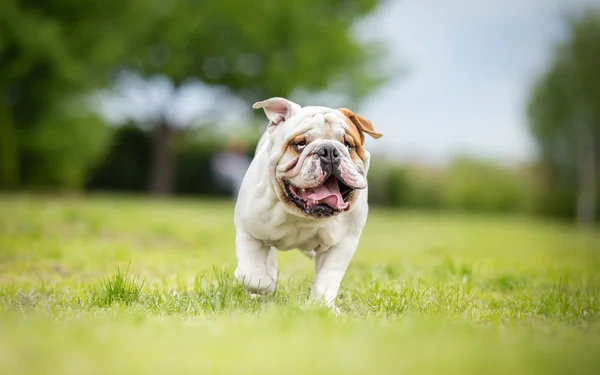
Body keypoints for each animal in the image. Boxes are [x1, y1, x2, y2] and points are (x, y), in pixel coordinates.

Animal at [232, 97, 382, 312]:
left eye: (348, 145)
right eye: (300, 144)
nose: (329, 150)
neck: (301, 214)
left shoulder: (341, 244)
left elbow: (326, 280)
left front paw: (322, 306)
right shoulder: (249, 232)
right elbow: (252, 275)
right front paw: (264, 281)